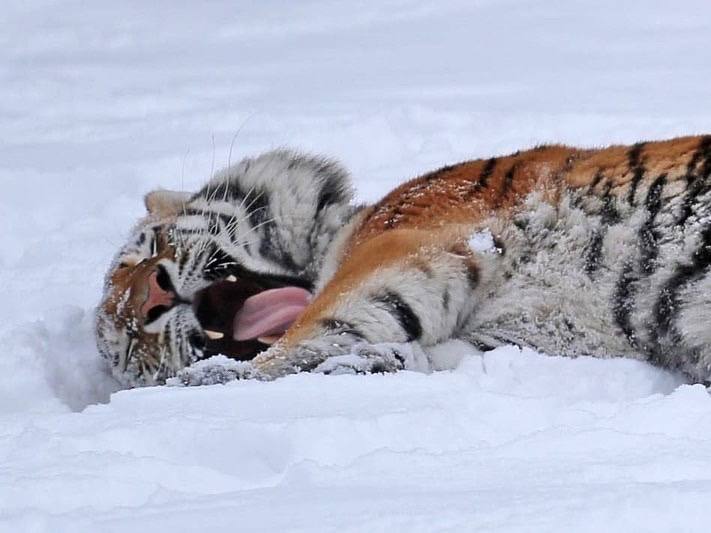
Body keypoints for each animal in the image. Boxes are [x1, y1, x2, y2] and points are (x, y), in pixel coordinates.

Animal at [97, 135, 711, 388]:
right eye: (129, 345)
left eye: (150, 249)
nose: (152, 296)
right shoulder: (533, 336)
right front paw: (372, 365)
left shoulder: (401, 245)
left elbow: (314, 327)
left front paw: (206, 383)